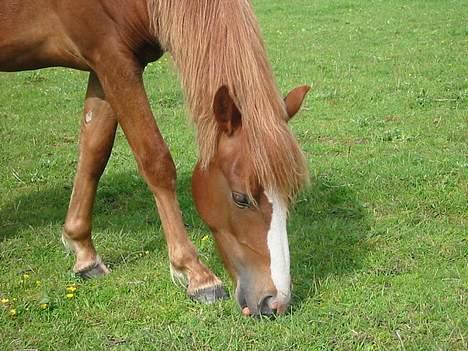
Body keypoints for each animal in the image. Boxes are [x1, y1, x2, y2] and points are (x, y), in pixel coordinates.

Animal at [0, 0, 310, 318]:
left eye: (289, 197)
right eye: (240, 198)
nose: (275, 302)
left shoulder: (101, 66)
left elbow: (94, 151)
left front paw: (83, 251)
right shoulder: (113, 59)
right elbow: (156, 160)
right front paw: (197, 274)